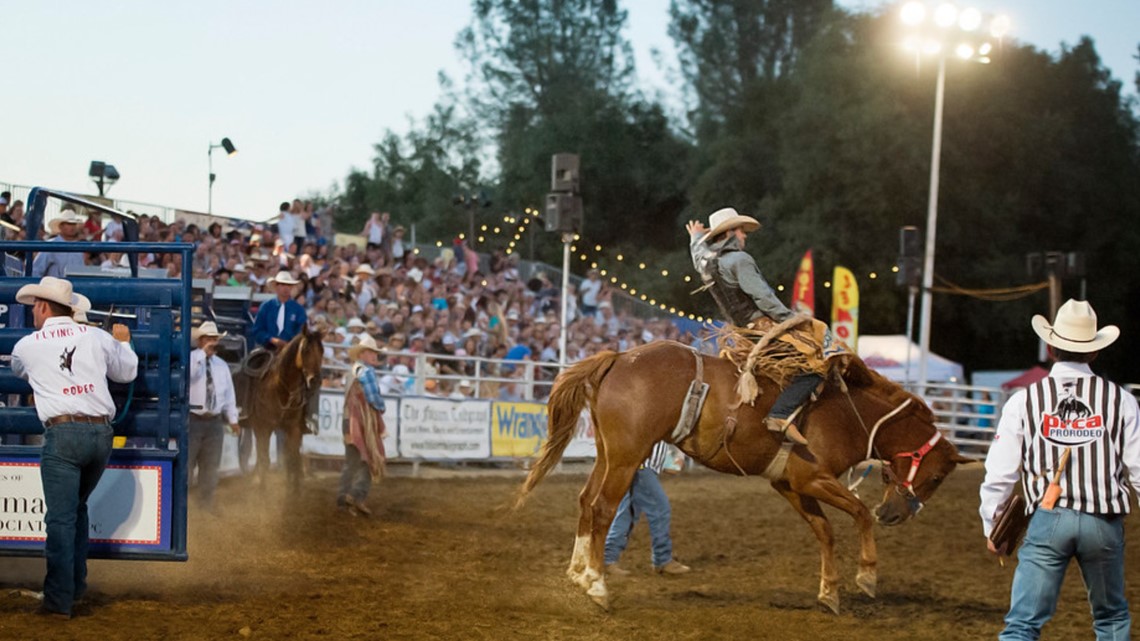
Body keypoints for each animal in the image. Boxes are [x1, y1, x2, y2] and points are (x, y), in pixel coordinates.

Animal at [241, 326, 326, 490]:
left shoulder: (293, 428)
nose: (315, 381)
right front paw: (262, 492)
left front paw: (292, 493)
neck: (281, 389)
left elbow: (291, 461)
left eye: (322, 350)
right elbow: (265, 461)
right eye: (306, 349)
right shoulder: (263, 428)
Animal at [517, 339, 971, 606]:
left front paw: (829, 592)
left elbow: (825, 531)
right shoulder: (811, 479)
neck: (849, 413)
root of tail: (619, 358)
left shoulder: (789, 485)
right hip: (627, 458)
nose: (893, 514)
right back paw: (597, 584)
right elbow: (857, 513)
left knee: (584, 502)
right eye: (936, 477)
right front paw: (867, 576)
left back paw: (577, 574)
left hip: (608, 455)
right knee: (602, 508)